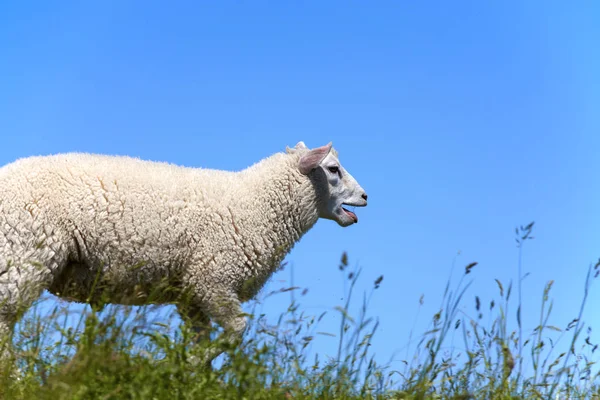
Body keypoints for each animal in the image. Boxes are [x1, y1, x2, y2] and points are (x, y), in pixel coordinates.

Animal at [0, 142, 366, 368]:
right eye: (333, 169)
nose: (365, 196)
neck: (256, 204)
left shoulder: (191, 293)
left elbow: (203, 339)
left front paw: (192, 373)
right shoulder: (212, 279)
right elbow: (237, 329)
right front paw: (180, 364)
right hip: (23, 256)